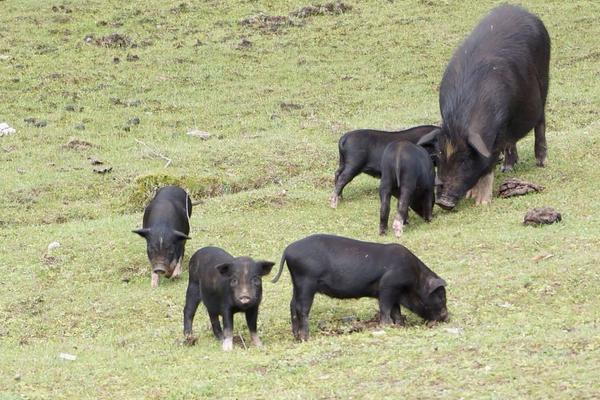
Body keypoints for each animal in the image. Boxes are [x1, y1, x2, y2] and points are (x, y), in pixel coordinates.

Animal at [270, 234, 446, 340]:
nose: (446, 316)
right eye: (441, 296)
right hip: (306, 282)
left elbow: (396, 310)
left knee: (292, 304)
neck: (415, 278)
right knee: (301, 308)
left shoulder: (394, 292)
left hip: (297, 283)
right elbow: (385, 308)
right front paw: (388, 326)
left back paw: (296, 338)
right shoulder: (388, 287)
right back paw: (306, 338)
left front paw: (400, 325)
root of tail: (287, 250)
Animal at [434, 5, 552, 209]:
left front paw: (481, 202)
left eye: (465, 161)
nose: (443, 202)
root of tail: (521, 10)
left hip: (544, 77)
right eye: (440, 156)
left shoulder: (500, 129)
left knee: (540, 121)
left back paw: (541, 161)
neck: (460, 122)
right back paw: (507, 168)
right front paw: (472, 195)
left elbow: (489, 161)